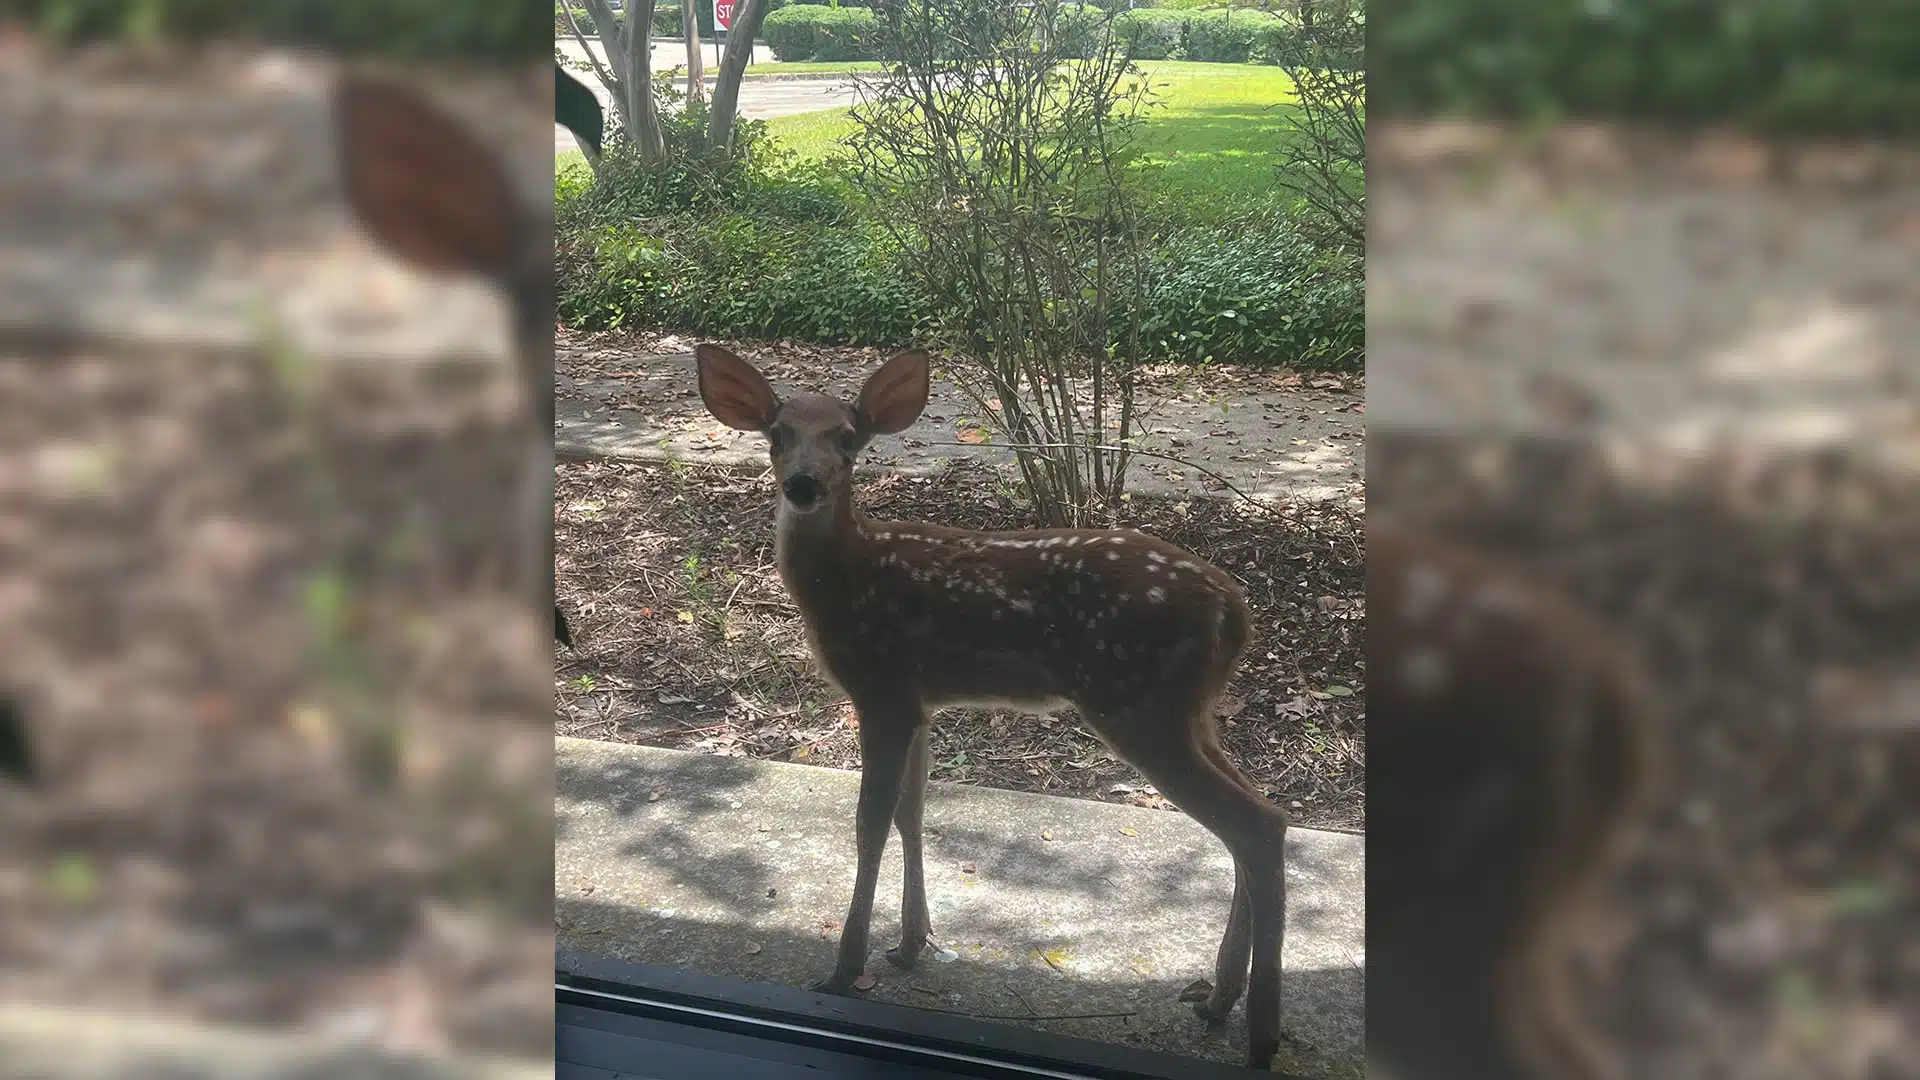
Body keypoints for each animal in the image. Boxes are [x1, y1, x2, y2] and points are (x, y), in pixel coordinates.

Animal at [695, 344, 1291, 1069]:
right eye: (777, 434)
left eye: (848, 438)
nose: (804, 484)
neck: (848, 578)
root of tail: (1236, 612)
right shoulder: (919, 702)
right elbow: (912, 813)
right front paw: (911, 943)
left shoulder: (883, 687)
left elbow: (870, 822)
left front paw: (844, 969)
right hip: (1187, 709)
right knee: (1256, 817)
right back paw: (1216, 999)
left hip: (1137, 703)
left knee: (1256, 825)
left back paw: (1259, 1037)